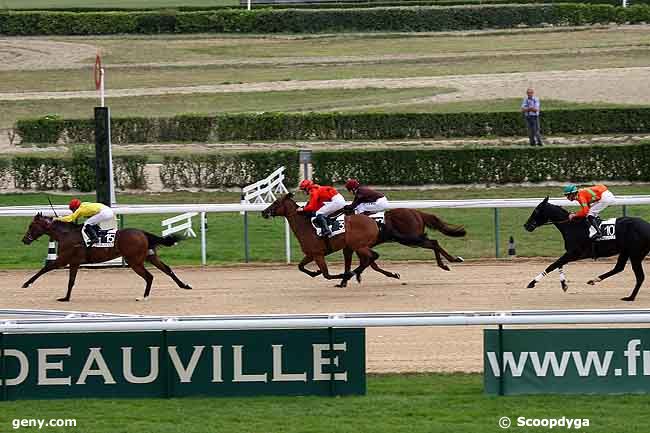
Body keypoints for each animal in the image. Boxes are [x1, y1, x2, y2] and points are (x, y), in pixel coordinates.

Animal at [22, 213, 190, 300]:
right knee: (167, 269)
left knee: (149, 276)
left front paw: (26, 284)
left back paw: (144, 296)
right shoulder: (74, 262)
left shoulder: (63, 260)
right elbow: (71, 281)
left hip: (134, 261)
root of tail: (142, 233)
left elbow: (45, 269)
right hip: (149, 257)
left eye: (31, 226)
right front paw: (66, 297)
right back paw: (184, 285)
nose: (24, 240)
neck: (66, 234)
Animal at [262, 193, 394, 284]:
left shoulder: (318, 254)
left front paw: (343, 275)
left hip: (359, 245)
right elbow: (300, 266)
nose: (264, 212)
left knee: (373, 256)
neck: (306, 226)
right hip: (359, 246)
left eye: (276, 202)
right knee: (370, 259)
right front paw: (316, 272)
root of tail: (374, 222)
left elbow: (327, 275)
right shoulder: (311, 254)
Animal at [520, 197, 648, 300]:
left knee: (640, 276)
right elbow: (559, 264)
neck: (573, 226)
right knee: (619, 268)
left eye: (536, 210)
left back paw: (630, 297)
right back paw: (594, 280)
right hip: (626, 251)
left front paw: (532, 282)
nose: (526, 225)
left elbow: (553, 265)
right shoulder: (572, 254)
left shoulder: (575, 253)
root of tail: (647, 226)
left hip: (635, 254)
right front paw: (564, 285)